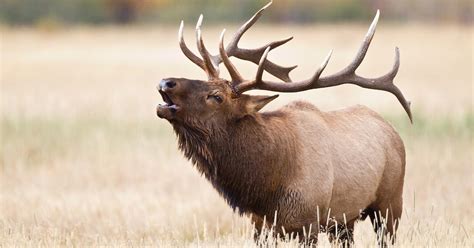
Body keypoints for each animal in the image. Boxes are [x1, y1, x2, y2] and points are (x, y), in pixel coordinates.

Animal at [156, 0, 412, 246]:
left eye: (217, 96)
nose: (166, 82)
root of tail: (393, 132)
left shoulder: (309, 221)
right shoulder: (260, 225)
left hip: (390, 203)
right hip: (343, 221)